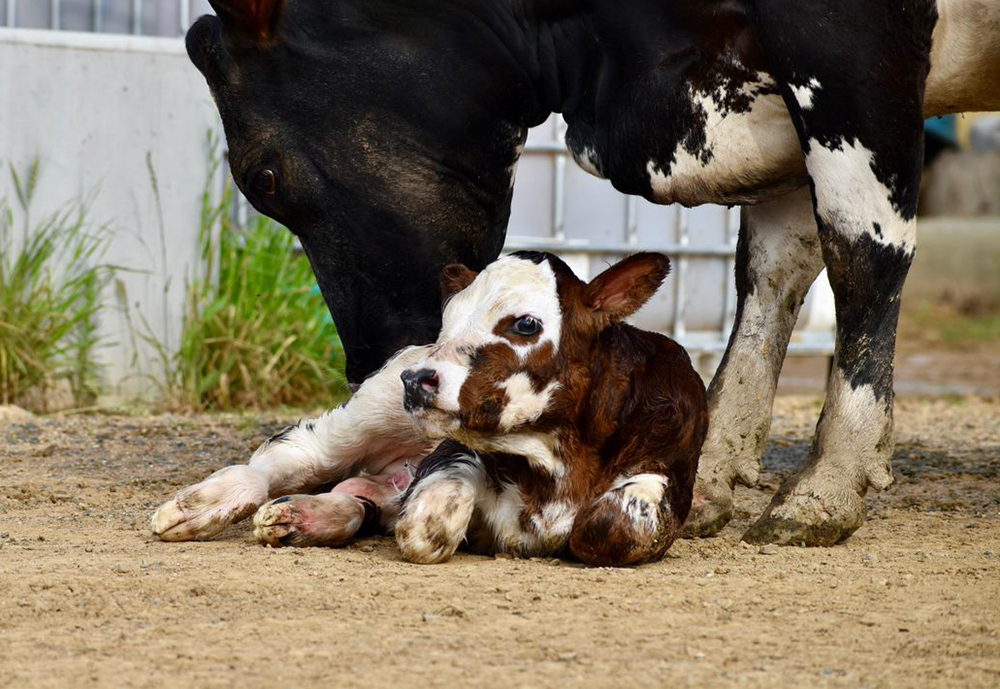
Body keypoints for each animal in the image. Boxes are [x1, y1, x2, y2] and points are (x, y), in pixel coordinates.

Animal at [152, 253, 708, 564]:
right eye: (448, 321)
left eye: (525, 323)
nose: (417, 380)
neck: (554, 464)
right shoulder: (449, 452)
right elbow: (430, 519)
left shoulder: (669, 466)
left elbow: (612, 526)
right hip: (364, 413)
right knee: (285, 458)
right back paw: (198, 506)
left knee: (363, 498)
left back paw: (306, 517)